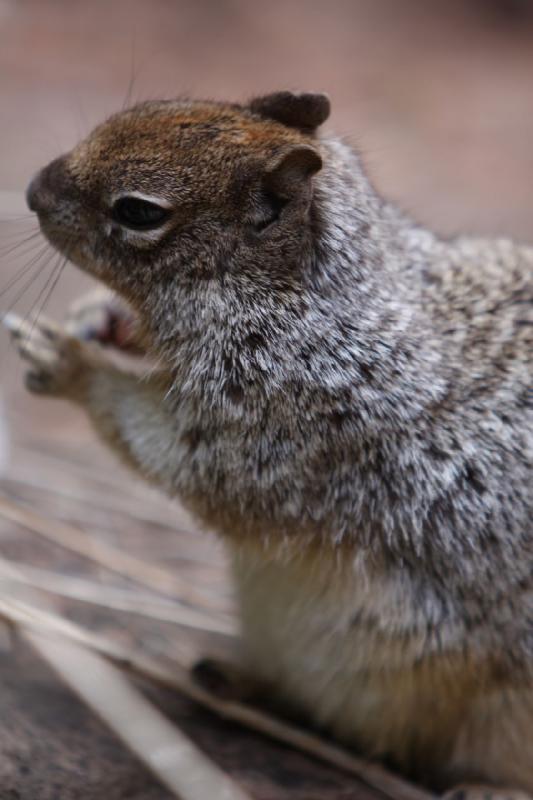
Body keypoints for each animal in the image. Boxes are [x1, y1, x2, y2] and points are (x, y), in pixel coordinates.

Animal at [5, 92, 532, 792]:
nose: (33, 190)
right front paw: (98, 318)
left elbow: (162, 444)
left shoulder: (271, 432)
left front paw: (71, 363)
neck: (308, 300)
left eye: (139, 211)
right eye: (150, 105)